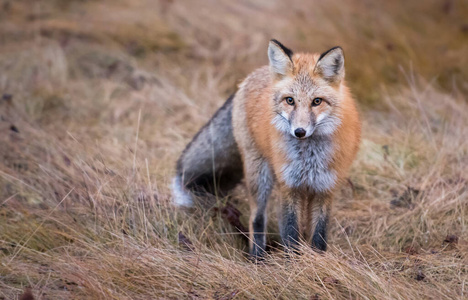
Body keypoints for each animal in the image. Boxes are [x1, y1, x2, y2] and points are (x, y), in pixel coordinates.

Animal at [173, 38, 362, 256]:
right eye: (290, 100)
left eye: (317, 101)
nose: (299, 132)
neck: (308, 158)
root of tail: (251, 76)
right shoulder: (289, 186)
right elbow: (290, 234)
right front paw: (293, 262)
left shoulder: (325, 188)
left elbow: (318, 237)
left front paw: (316, 260)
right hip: (259, 176)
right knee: (256, 218)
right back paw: (257, 257)